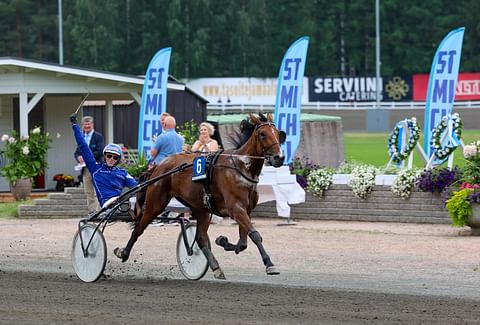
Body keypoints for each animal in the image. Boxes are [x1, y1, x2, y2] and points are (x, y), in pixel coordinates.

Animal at [113, 112, 284, 278]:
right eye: (262, 133)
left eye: (277, 133)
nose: (279, 157)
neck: (241, 166)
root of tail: (158, 166)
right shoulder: (236, 208)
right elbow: (254, 235)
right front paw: (269, 264)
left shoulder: (245, 210)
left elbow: (243, 243)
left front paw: (222, 241)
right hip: (155, 204)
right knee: (138, 229)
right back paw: (123, 252)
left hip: (201, 209)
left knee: (201, 238)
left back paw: (215, 267)